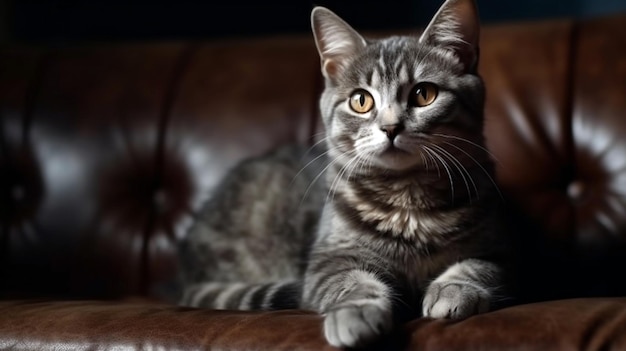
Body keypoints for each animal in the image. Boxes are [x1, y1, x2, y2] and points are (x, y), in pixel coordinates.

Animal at [177, 0, 508, 348]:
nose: (391, 127)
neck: (407, 197)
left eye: (424, 94)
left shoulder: (502, 249)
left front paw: (454, 289)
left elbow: (477, 266)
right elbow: (350, 281)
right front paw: (357, 313)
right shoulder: (329, 258)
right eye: (361, 100)